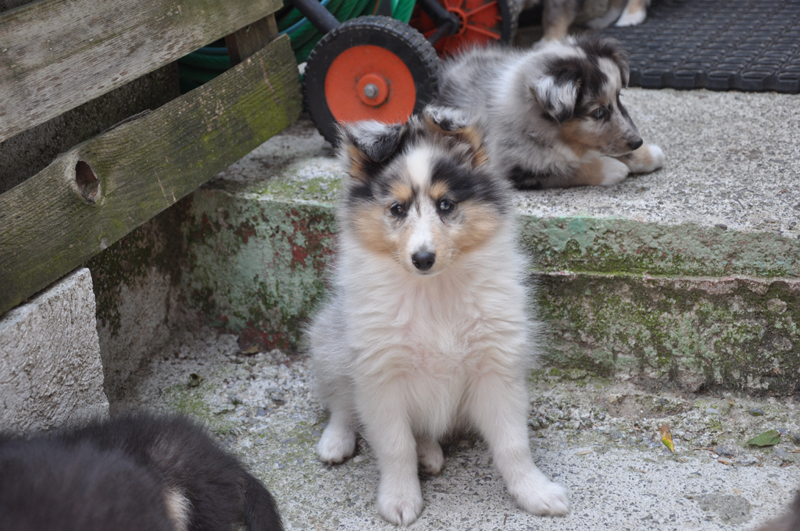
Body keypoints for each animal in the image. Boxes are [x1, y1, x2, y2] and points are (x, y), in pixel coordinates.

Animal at [310, 106, 572, 524]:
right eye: (397, 209)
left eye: (446, 205)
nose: (423, 258)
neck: (433, 292)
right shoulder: (380, 375)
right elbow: (394, 445)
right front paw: (400, 500)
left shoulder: (496, 368)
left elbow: (513, 443)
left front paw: (535, 492)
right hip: (330, 342)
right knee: (342, 404)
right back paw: (336, 441)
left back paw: (428, 452)